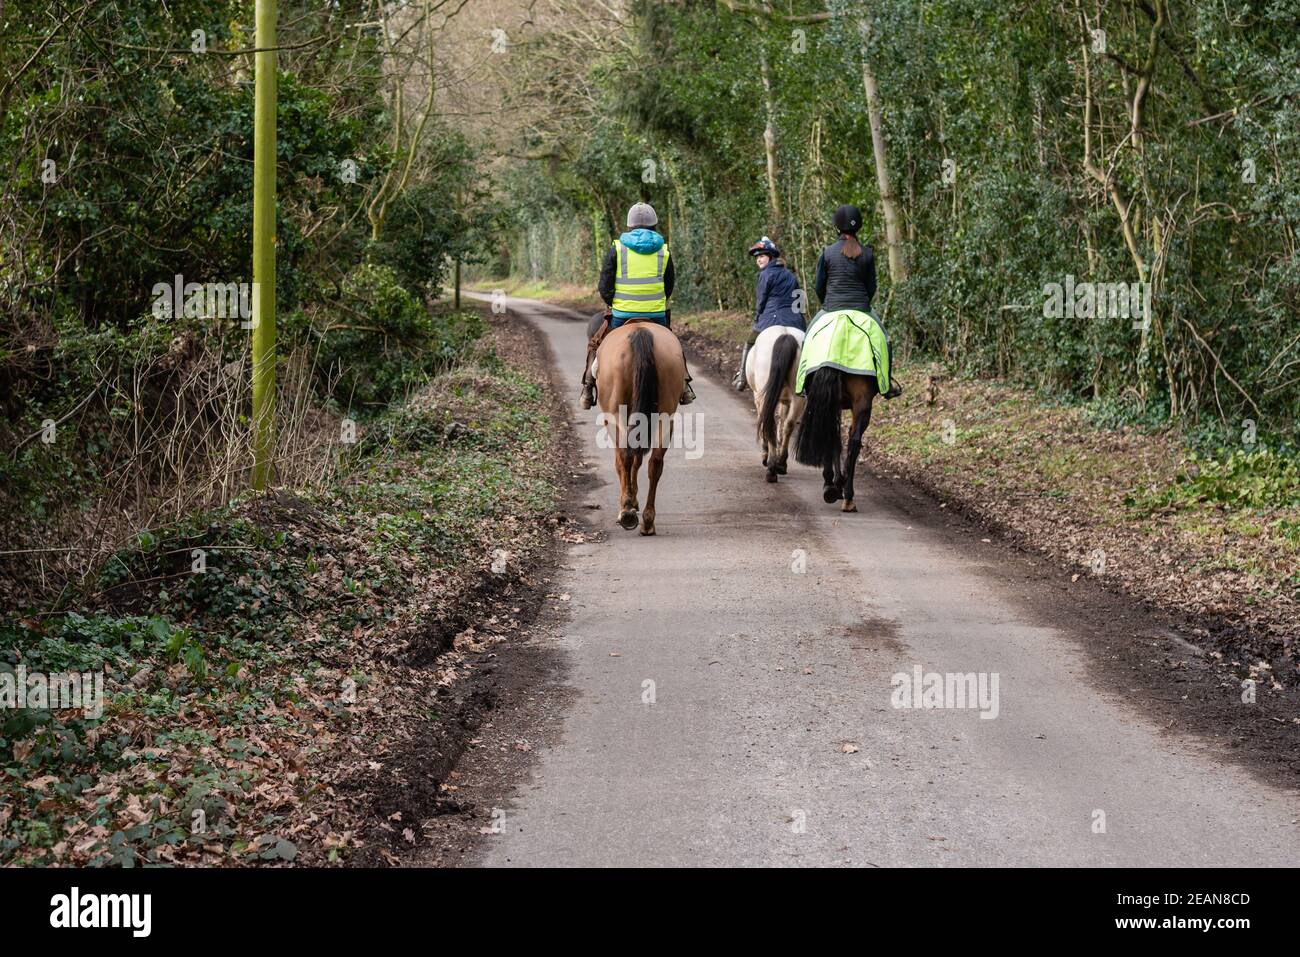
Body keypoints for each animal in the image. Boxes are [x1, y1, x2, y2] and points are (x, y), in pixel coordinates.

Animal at [595, 319, 686, 530]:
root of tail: (640, 331)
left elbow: (622, 461)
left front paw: (629, 502)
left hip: (615, 413)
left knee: (624, 455)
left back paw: (626, 511)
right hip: (665, 416)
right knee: (655, 461)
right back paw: (648, 519)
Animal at [748, 323, 806, 486]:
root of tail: (785, 335)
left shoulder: (758, 397)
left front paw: (764, 453)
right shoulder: (785, 400)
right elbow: (783, 421)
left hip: (763, 395)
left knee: (769, 424)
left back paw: (771, 468)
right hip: (798, 396)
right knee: (789, 425)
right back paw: (781, 463)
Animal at [785, 366, 878, 512]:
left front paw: (837, 483)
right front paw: (839, 482)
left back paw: (836, 490)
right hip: (859, 403)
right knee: (851, 442)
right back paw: (844, 494)